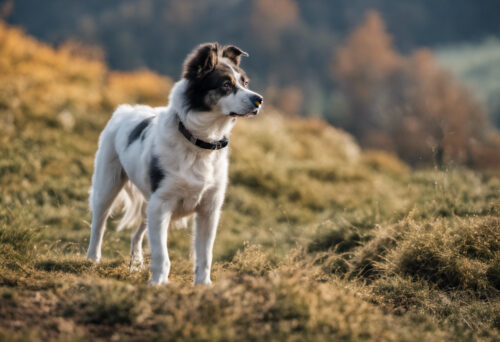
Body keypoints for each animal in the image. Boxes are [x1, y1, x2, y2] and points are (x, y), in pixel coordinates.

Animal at [86, 42, 264, 284]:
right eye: (226, 85)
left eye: (245, 83)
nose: (259, 100)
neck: (198, 141)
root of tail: (125, 109)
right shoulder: (162, 204)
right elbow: (162, 253)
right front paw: (158, 283)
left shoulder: (208, 209)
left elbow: (205, 255)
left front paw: (203, 285)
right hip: (108, 184)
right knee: (99, 222)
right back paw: (92, 258)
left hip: (148, 203)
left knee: (136, 234)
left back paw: (136, 263)